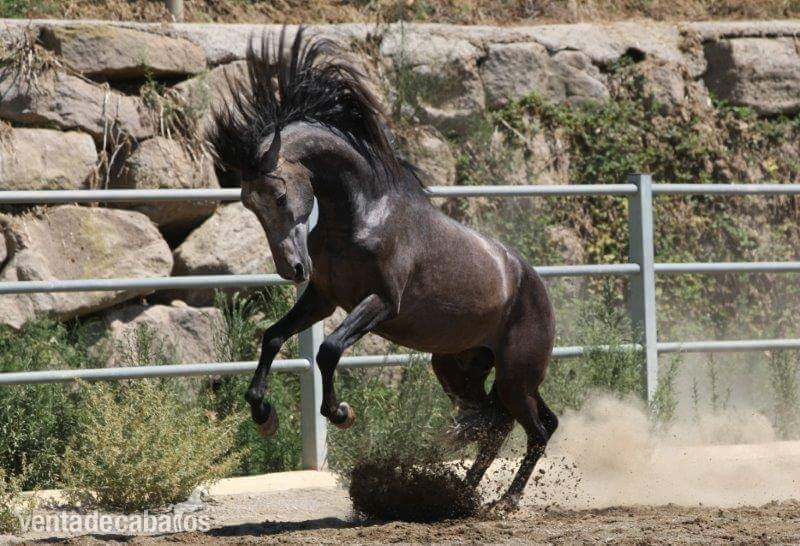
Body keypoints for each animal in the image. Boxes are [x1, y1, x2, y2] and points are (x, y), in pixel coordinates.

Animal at [207, 27, 557, 511]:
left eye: (278, 195)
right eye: (247, 204)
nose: (292, 268)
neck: (362, 216)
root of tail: (535, 285)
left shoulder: (381, 303)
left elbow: (328, 349)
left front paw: (340, 413)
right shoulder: (323, 299)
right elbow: (273, 337)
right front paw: (263, 414)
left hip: (515, 378)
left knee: (531, 428)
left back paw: (505, 500)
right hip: (459, 370)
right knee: (494, 423)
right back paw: (462, 493)